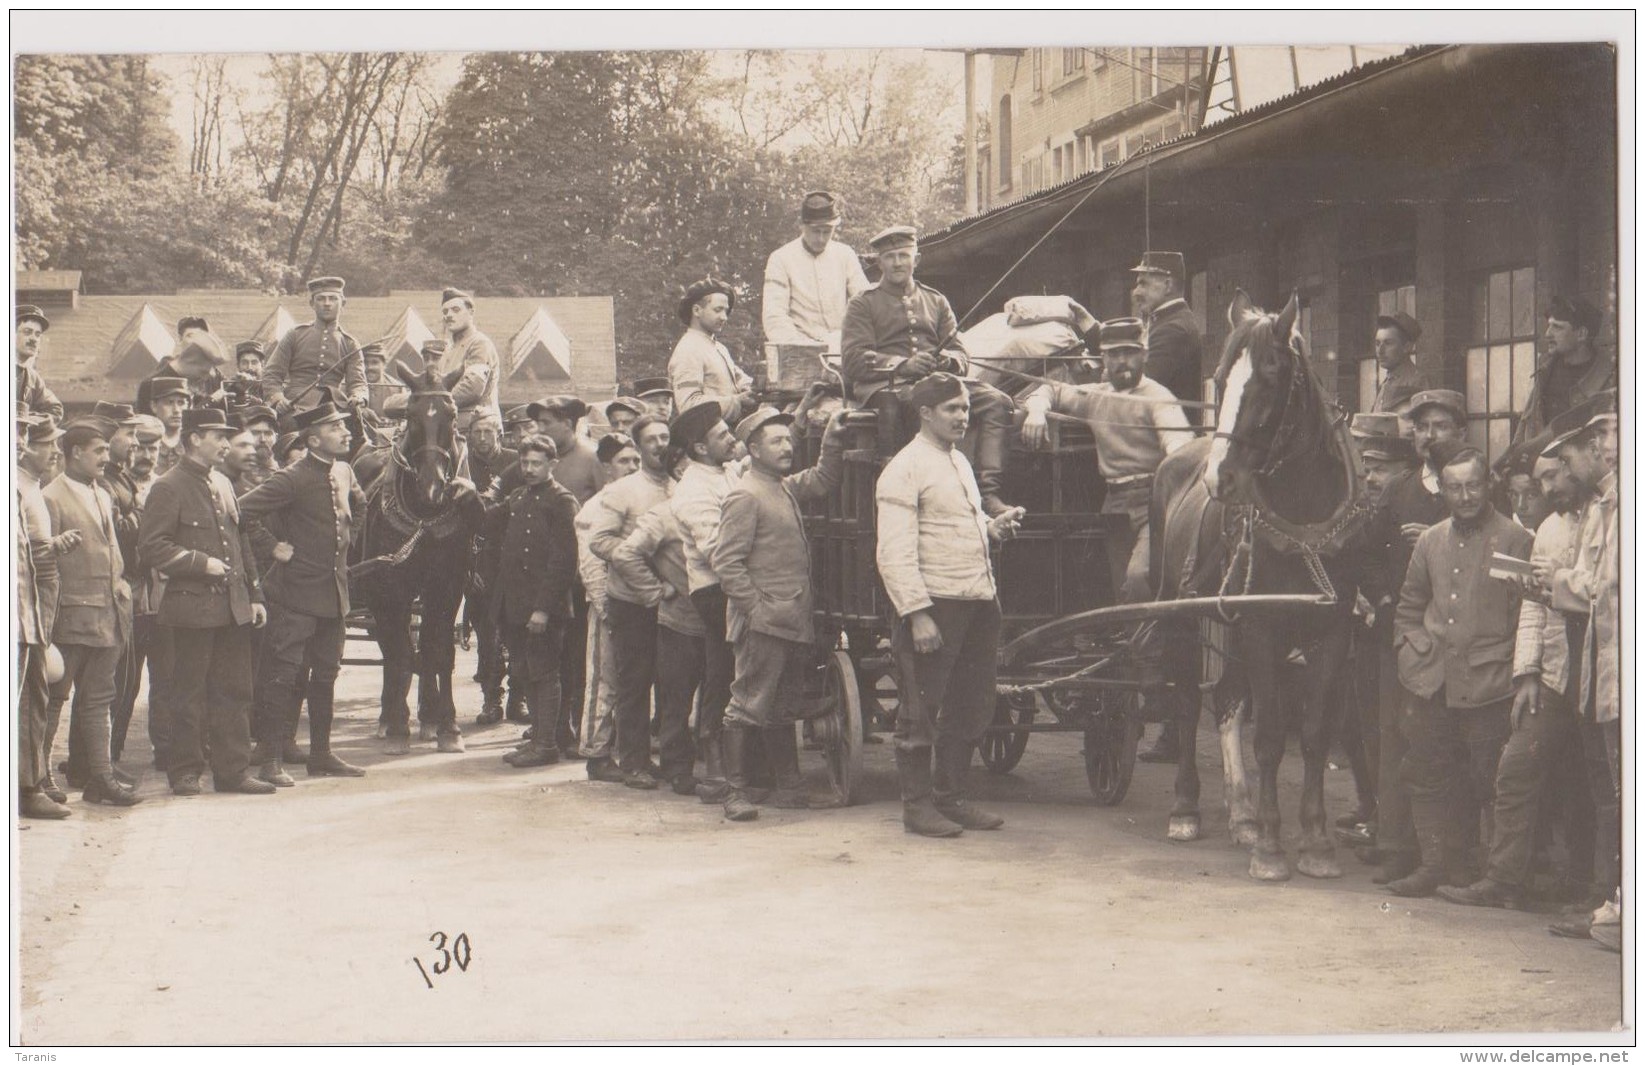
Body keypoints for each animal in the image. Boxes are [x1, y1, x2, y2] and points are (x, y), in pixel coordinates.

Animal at [345, 361, 480, 753]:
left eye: (452, 415)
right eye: (410, 415)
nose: (432, 487)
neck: (423, 517)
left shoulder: (447, 587)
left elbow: (438, 652)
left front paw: (447, 725)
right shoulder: (390, 589)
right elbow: (402, 654)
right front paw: (399, 726)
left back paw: (427, 716)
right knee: (394, 650)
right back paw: (389, 717)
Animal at [1151, 291, 1368, 881]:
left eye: (1271, 375)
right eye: (1221, 378)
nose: (1220, 478)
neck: (1305, 519)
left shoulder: (1331, 631)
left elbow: (1313, 734)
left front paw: (1314, 840)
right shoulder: (1262, 625)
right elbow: (1270, 736)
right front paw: (1271, 846)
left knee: (1226, 700)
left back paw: (1242, 811)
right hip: (1181, 614)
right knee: (1186, 702)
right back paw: (1185, 807)